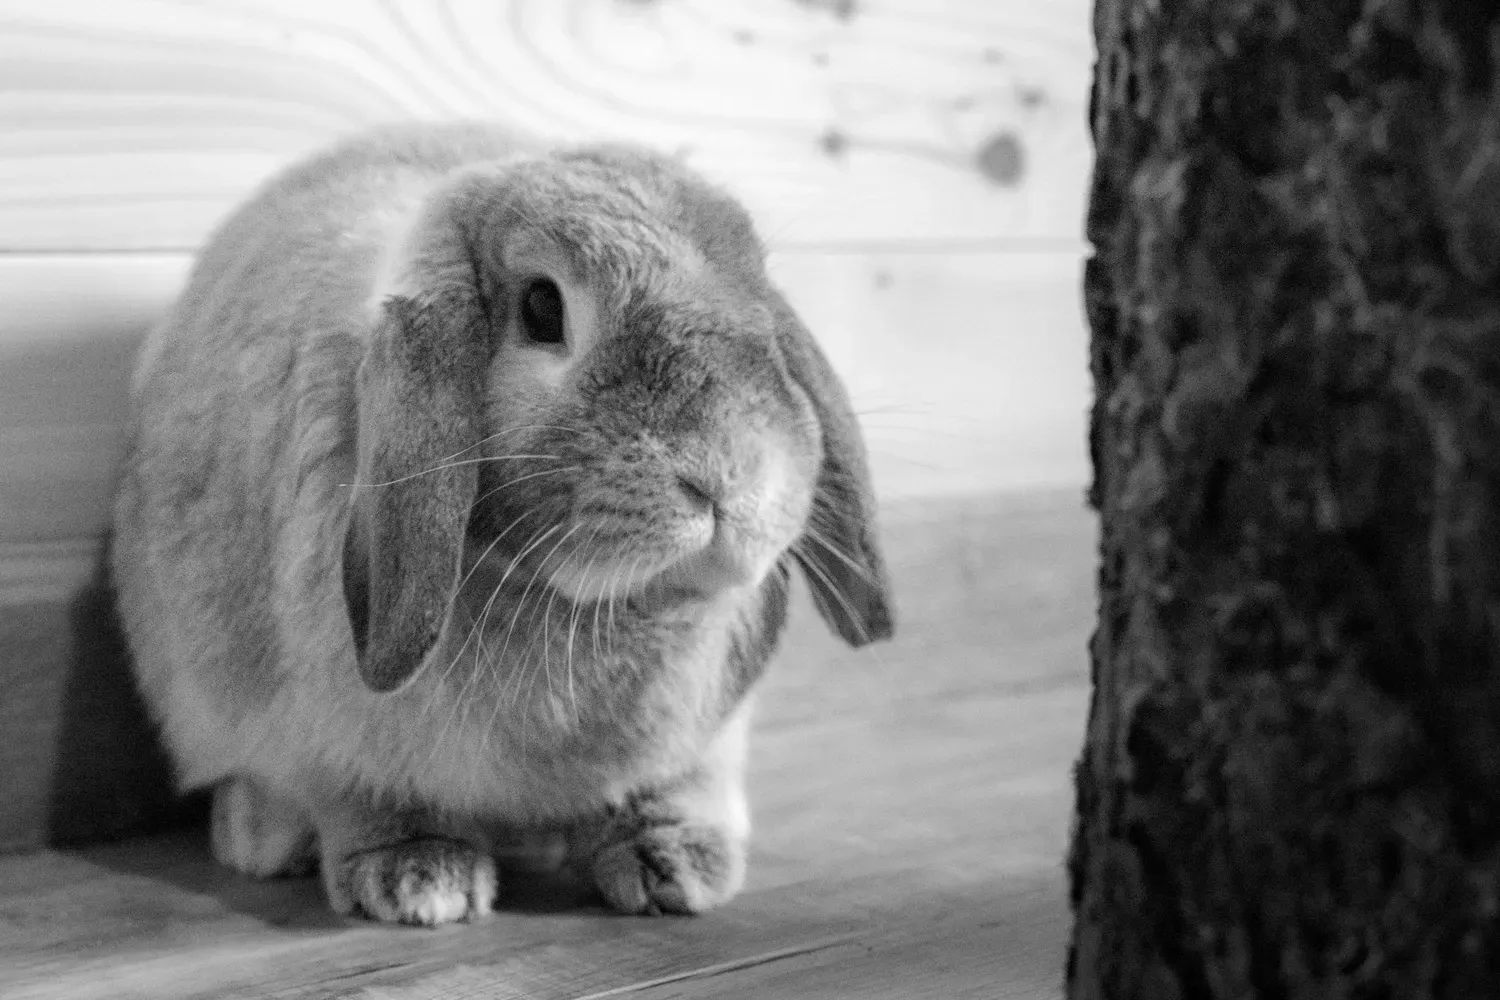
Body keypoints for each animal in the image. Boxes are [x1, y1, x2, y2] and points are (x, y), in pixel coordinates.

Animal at [110, 122, 893, 926]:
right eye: (543, 308)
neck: (585, 603)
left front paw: (676, 865)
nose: (727, 475)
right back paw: (257, 837)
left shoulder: (699, 744)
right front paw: (419, 881)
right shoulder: (336, 739)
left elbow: (673, 789)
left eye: (761, 303)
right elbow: (370, 798)